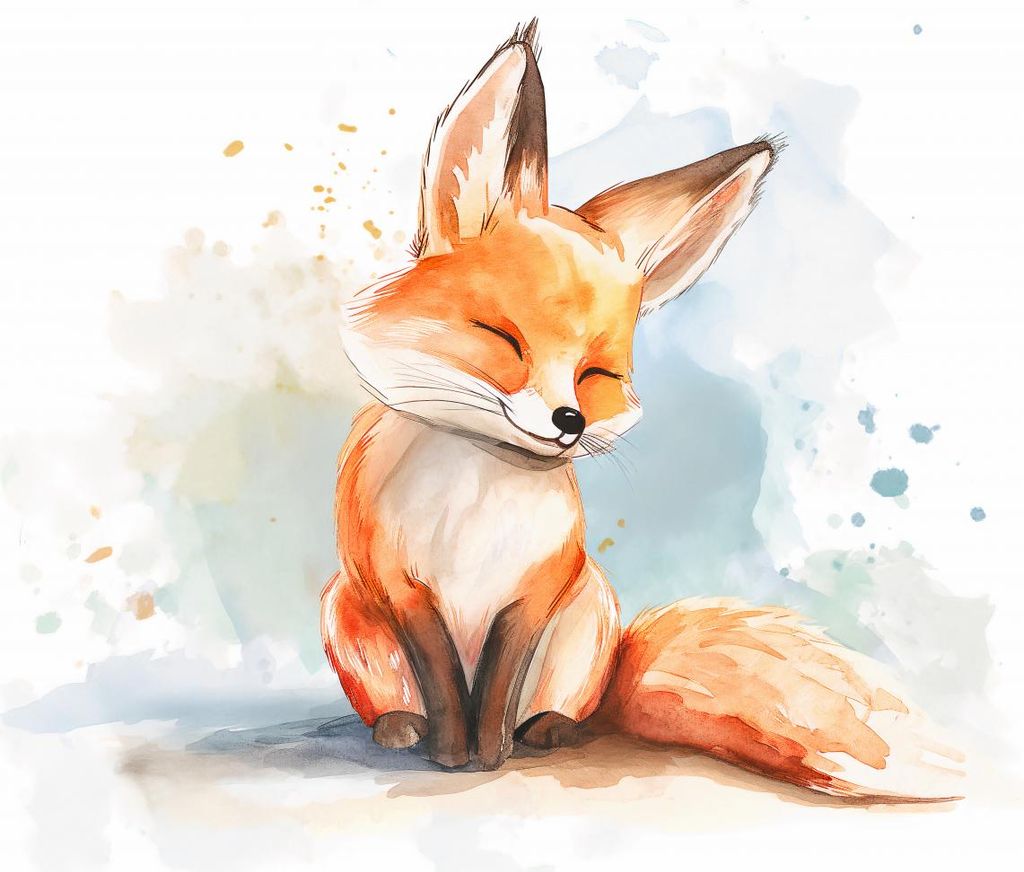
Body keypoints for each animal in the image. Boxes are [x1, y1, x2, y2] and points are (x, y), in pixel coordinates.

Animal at [321, 21, 963, 801]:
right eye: (503, 338)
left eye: (597, 374)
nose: (569, 421)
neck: (476, 490)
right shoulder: (401, 587)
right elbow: (445, 681)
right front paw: (452, 754)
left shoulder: (535, 590)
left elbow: (498, 686)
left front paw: (489, 754)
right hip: (344, 610)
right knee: (399, 701)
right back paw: (399, 728)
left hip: (589, 613)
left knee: (565, 709)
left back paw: (549, 732)